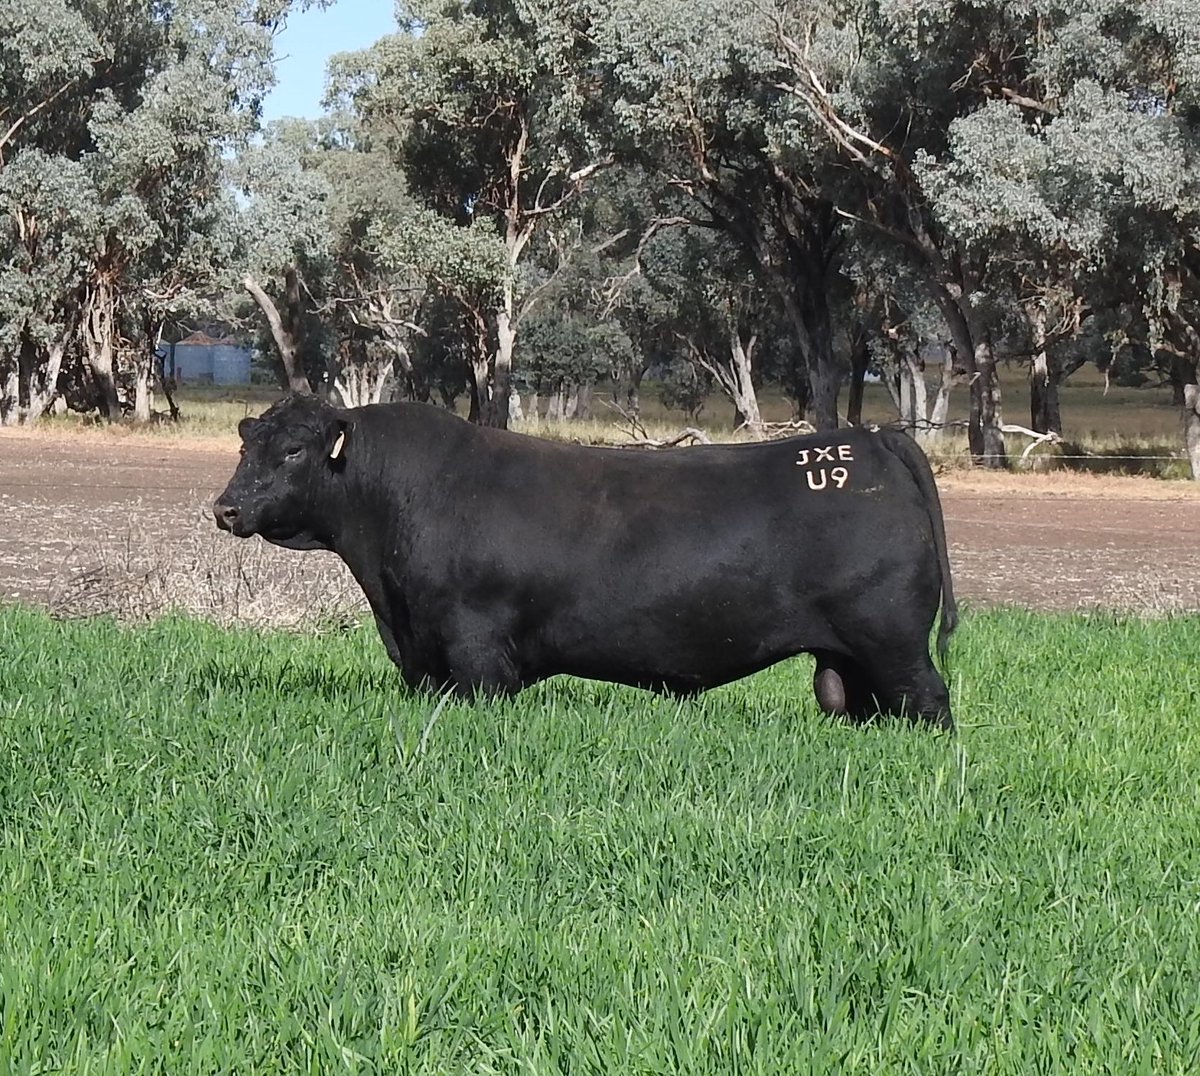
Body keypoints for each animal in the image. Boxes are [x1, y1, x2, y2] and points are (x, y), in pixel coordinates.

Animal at [213, 394, 958, 729]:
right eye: (248, 447)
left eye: (294, 451)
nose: (225, 509)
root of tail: (871, 439)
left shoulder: (477, 650)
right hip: (849, 659)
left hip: (893, 640)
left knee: (929, 699)